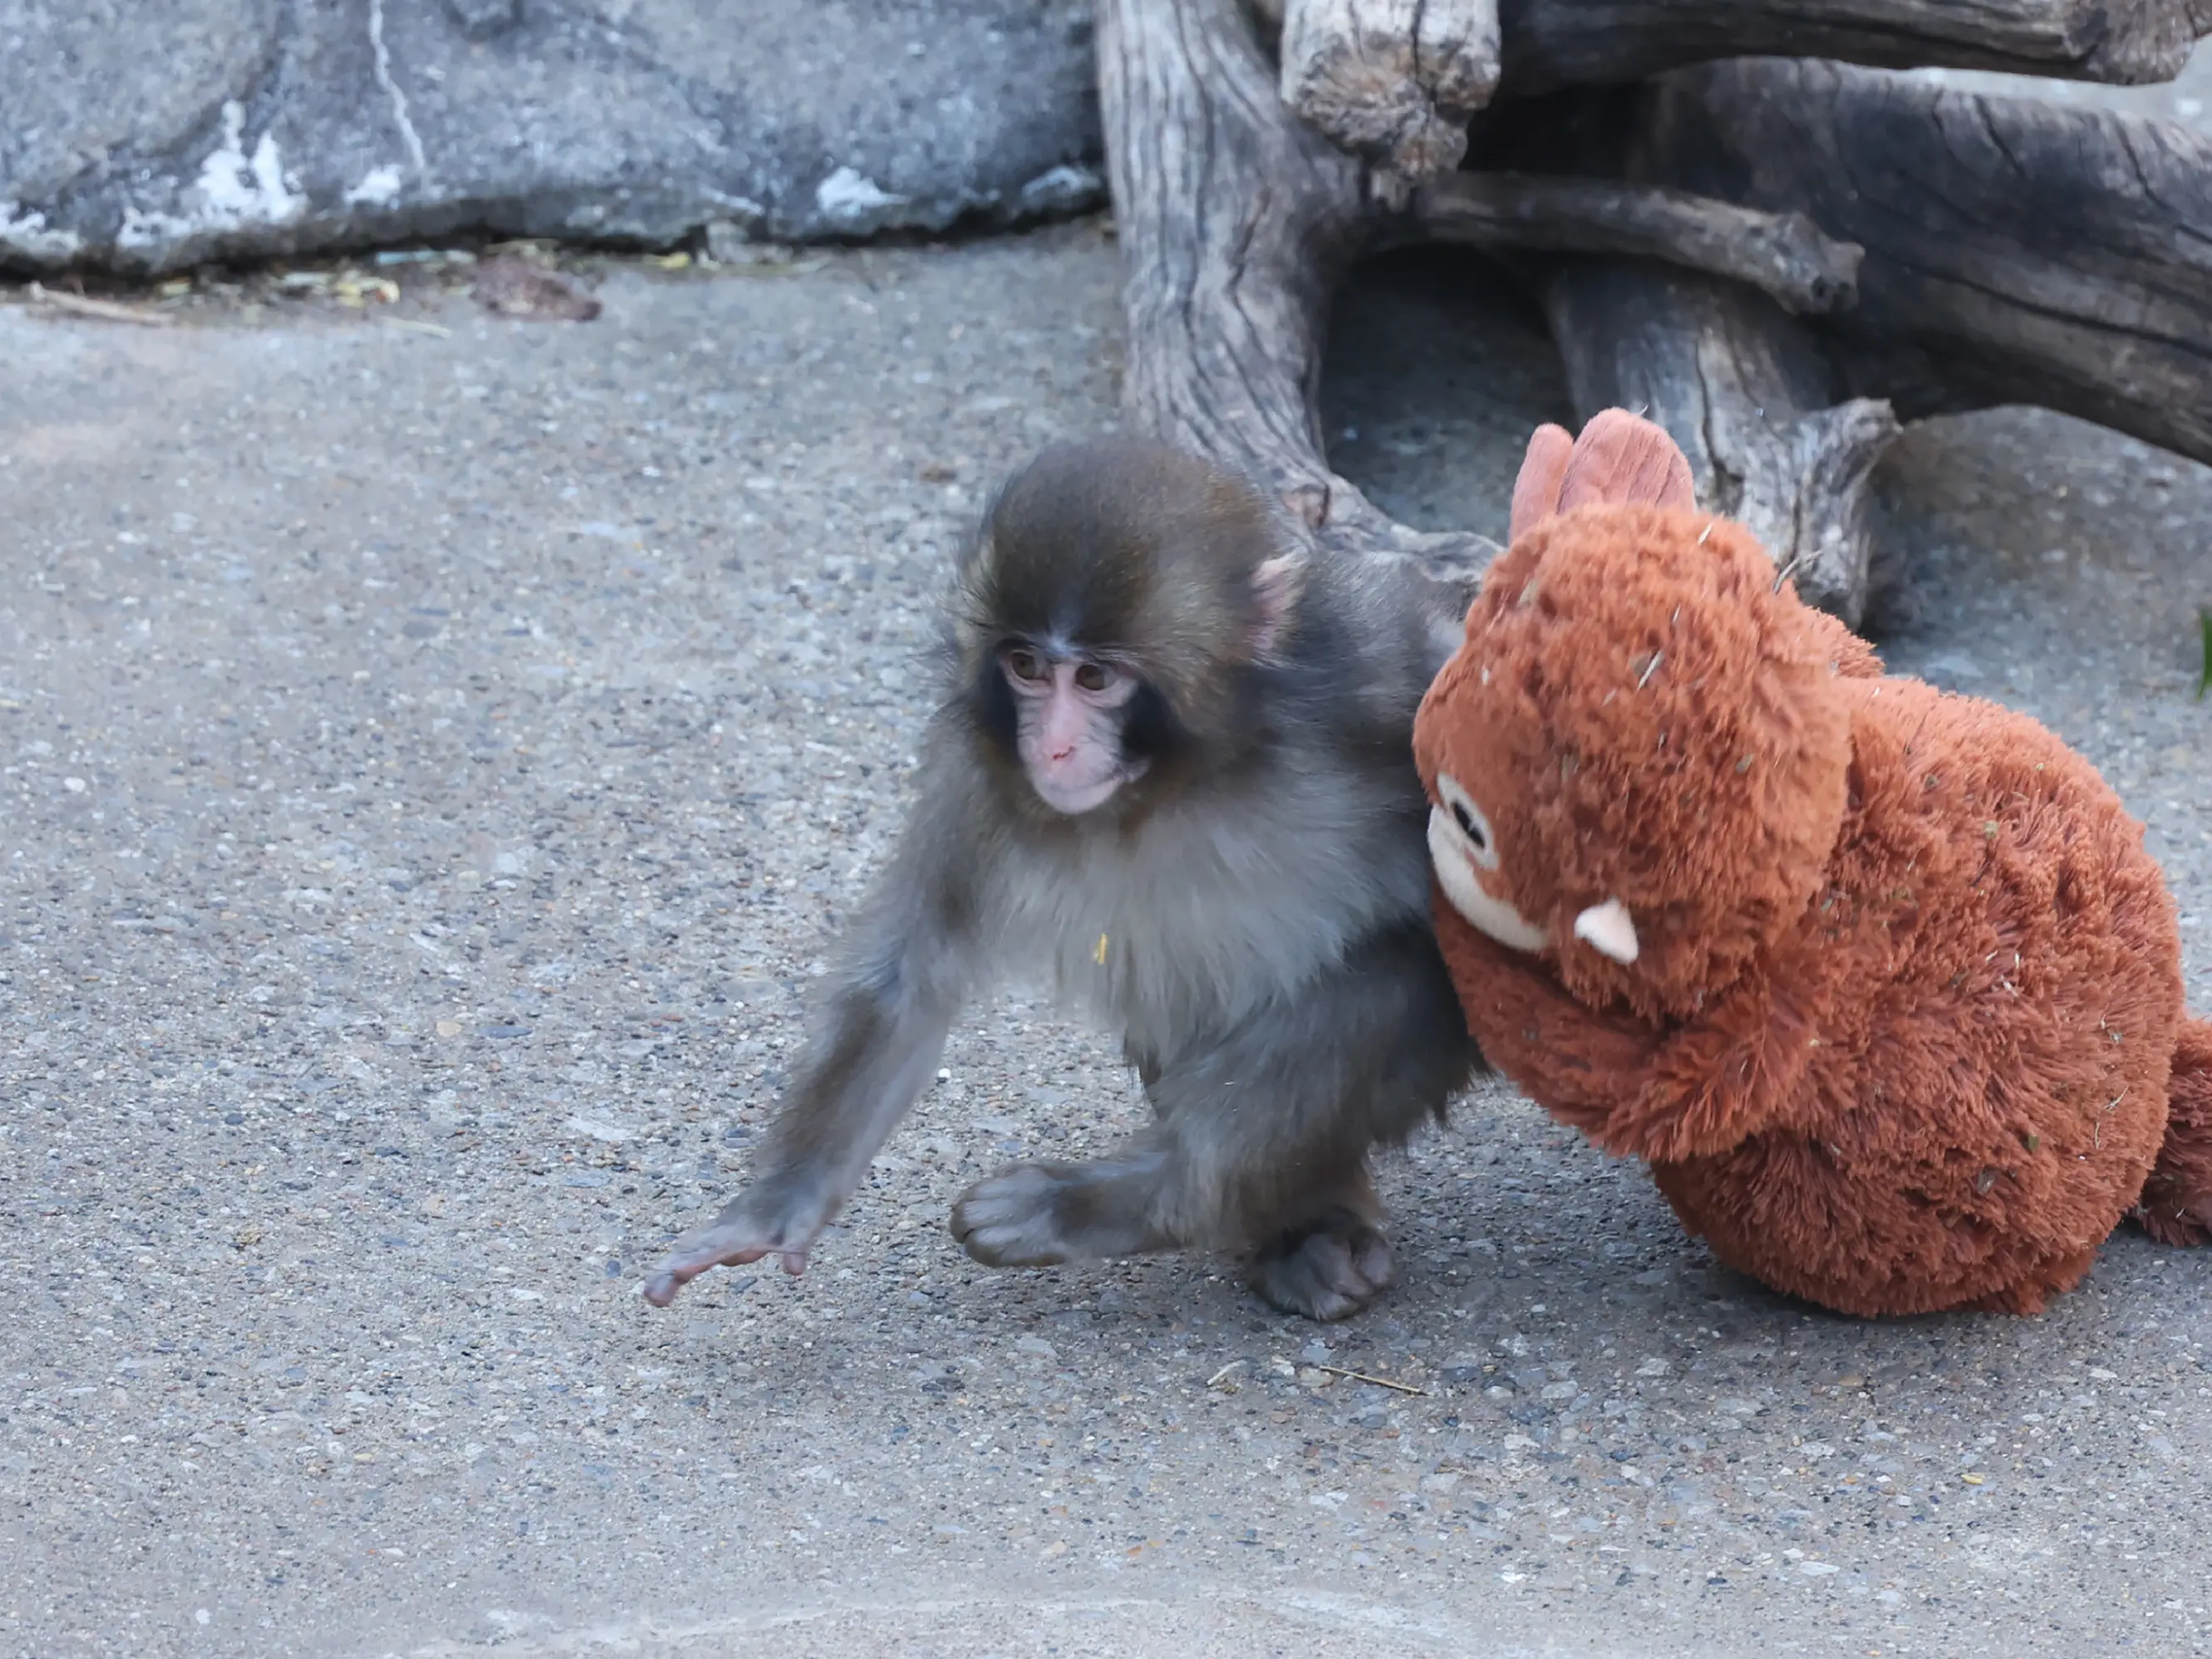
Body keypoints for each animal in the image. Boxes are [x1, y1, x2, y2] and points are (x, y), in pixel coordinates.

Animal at [644, 436, 1483, 1321]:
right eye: (1024, 667)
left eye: (1095, 679)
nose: (1049, 747)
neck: (1185, 778)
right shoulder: (977, 773)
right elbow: (909, 978)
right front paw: (774, 1209)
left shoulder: (1379, 674)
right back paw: (1301, 1229)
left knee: (1396, 977)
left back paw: (1135, 1199)